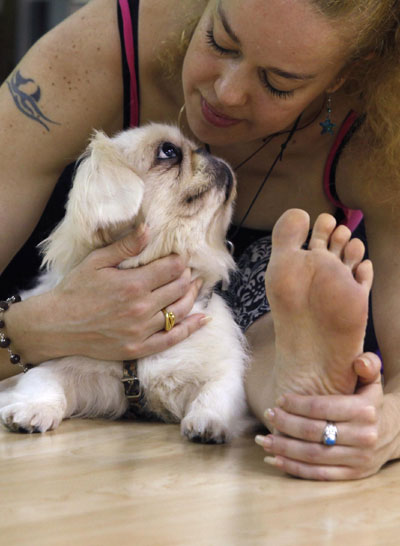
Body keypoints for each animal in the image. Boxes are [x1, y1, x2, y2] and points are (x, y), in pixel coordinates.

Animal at [0, 123, 253, 442]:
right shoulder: (62, 362)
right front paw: (30, 411)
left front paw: (209, 422)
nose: (207, 152)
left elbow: (217, 392)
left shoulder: (219, 370)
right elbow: (41, 381)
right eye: (168, 151)